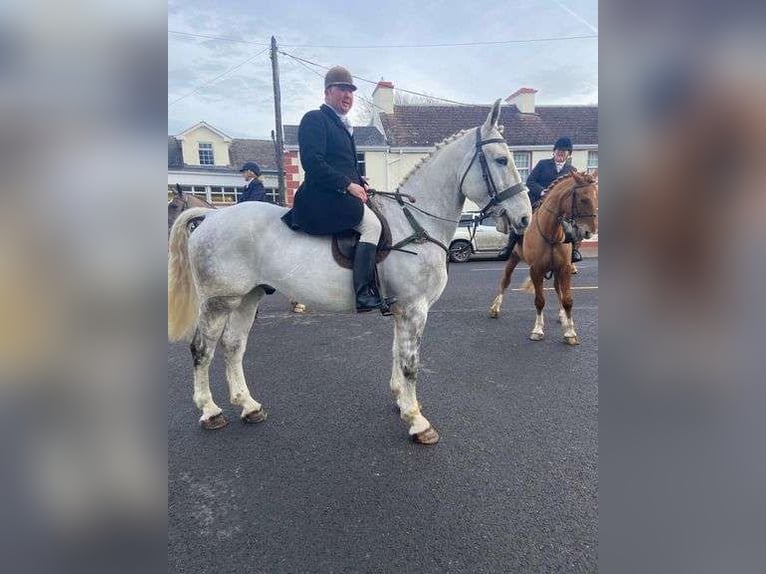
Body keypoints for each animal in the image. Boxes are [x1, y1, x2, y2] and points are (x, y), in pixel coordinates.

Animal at [492, 170, 600, 342]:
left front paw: (570, 332)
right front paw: (537, 329)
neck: (552, 232)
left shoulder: (564, 268)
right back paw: (495, 307)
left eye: (596, 198)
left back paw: (562, 315)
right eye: (583, 199)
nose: (589, 232)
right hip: (514, 257)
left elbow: (567, 299)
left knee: (557, 288)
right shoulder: (536, 269)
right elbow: (539, 300)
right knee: (505, 281)